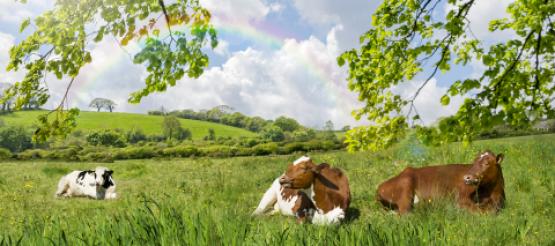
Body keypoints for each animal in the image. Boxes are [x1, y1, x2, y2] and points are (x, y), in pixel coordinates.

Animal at [376, 150, 506, 213]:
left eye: (487, 163)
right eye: (473, 162)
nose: (467, 177)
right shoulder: (461, 199)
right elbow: (483, 213)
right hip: (405, 188)